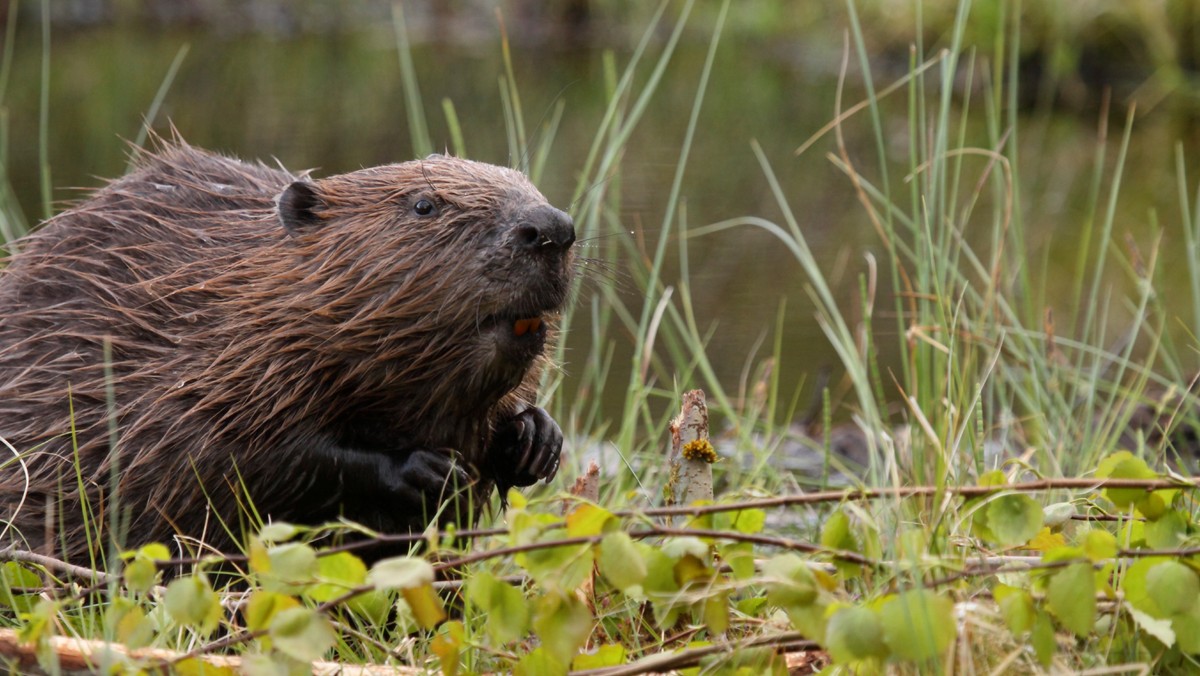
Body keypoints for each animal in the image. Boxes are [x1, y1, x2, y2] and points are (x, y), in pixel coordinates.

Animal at [0, 138, 576, 566]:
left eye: (528, 185)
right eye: (424, 205)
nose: (552, 229)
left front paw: (536, 439)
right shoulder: (194, 368)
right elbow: (235, 458)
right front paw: (426, 469)